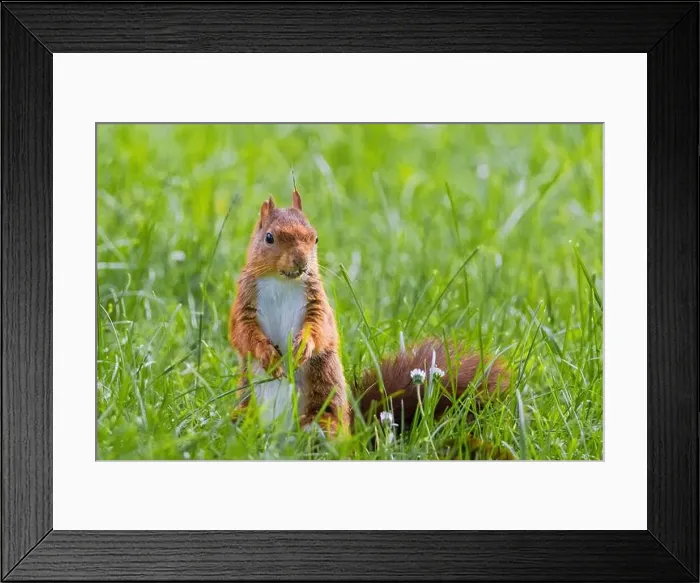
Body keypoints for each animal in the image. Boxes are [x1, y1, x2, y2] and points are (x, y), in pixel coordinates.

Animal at [228, 187, 511, 455]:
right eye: (269, 237)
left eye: (315, 238)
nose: (302, 262)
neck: (282, 282)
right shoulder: (244, 303)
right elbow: (242, 332)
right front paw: (267, 354)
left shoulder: (317, 304)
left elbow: (321, 329)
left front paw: (303, 346)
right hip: (244, 411)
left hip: (323, 416)